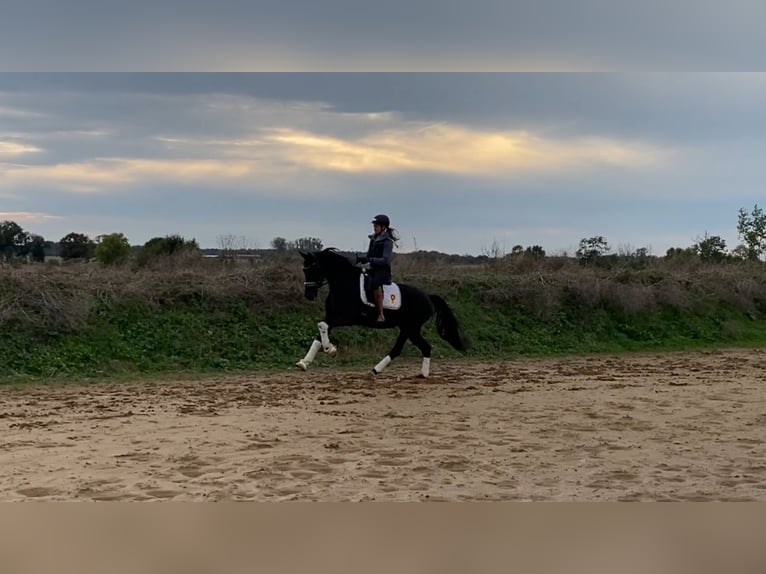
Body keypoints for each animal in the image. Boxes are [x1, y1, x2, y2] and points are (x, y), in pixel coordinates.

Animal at [298, 249, 468, 378]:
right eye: (304, 270)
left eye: (312, 269)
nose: (309, 295)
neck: (344, 283)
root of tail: (428, 297)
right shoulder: (332, 317)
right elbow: (320, 332)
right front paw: (304, 363)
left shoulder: (348, 317)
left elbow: (322, 325)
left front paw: (330, 350)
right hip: (408, 328)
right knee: (416, 348)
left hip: (411, 328)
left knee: (412, 348)